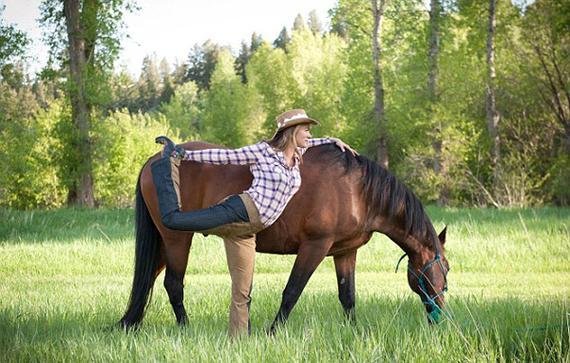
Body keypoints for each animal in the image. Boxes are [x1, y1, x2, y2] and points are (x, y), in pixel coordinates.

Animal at [118, 142, 448, 332]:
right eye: (443, 270)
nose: (440, 316)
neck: (356, 190)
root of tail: (152, 162)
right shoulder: (315, 246)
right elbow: (292, 291)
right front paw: (272, 331)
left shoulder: (344, 252)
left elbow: (348, 296)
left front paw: (354, 332)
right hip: (176, 239)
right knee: (173, 284)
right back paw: (185, 328)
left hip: (163, 243)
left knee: (148, 281)